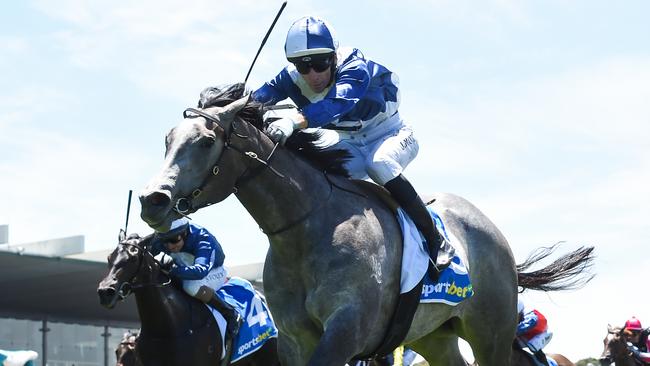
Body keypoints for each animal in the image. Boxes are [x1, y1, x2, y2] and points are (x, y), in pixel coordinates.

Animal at [139, 83, 596, 366]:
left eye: (205, 141)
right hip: (434, 335)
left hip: (491, 332)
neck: (306, 229)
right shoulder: (293, 340)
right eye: (167, 139)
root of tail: (490, 230)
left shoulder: (345, 331)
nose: (152, 200)